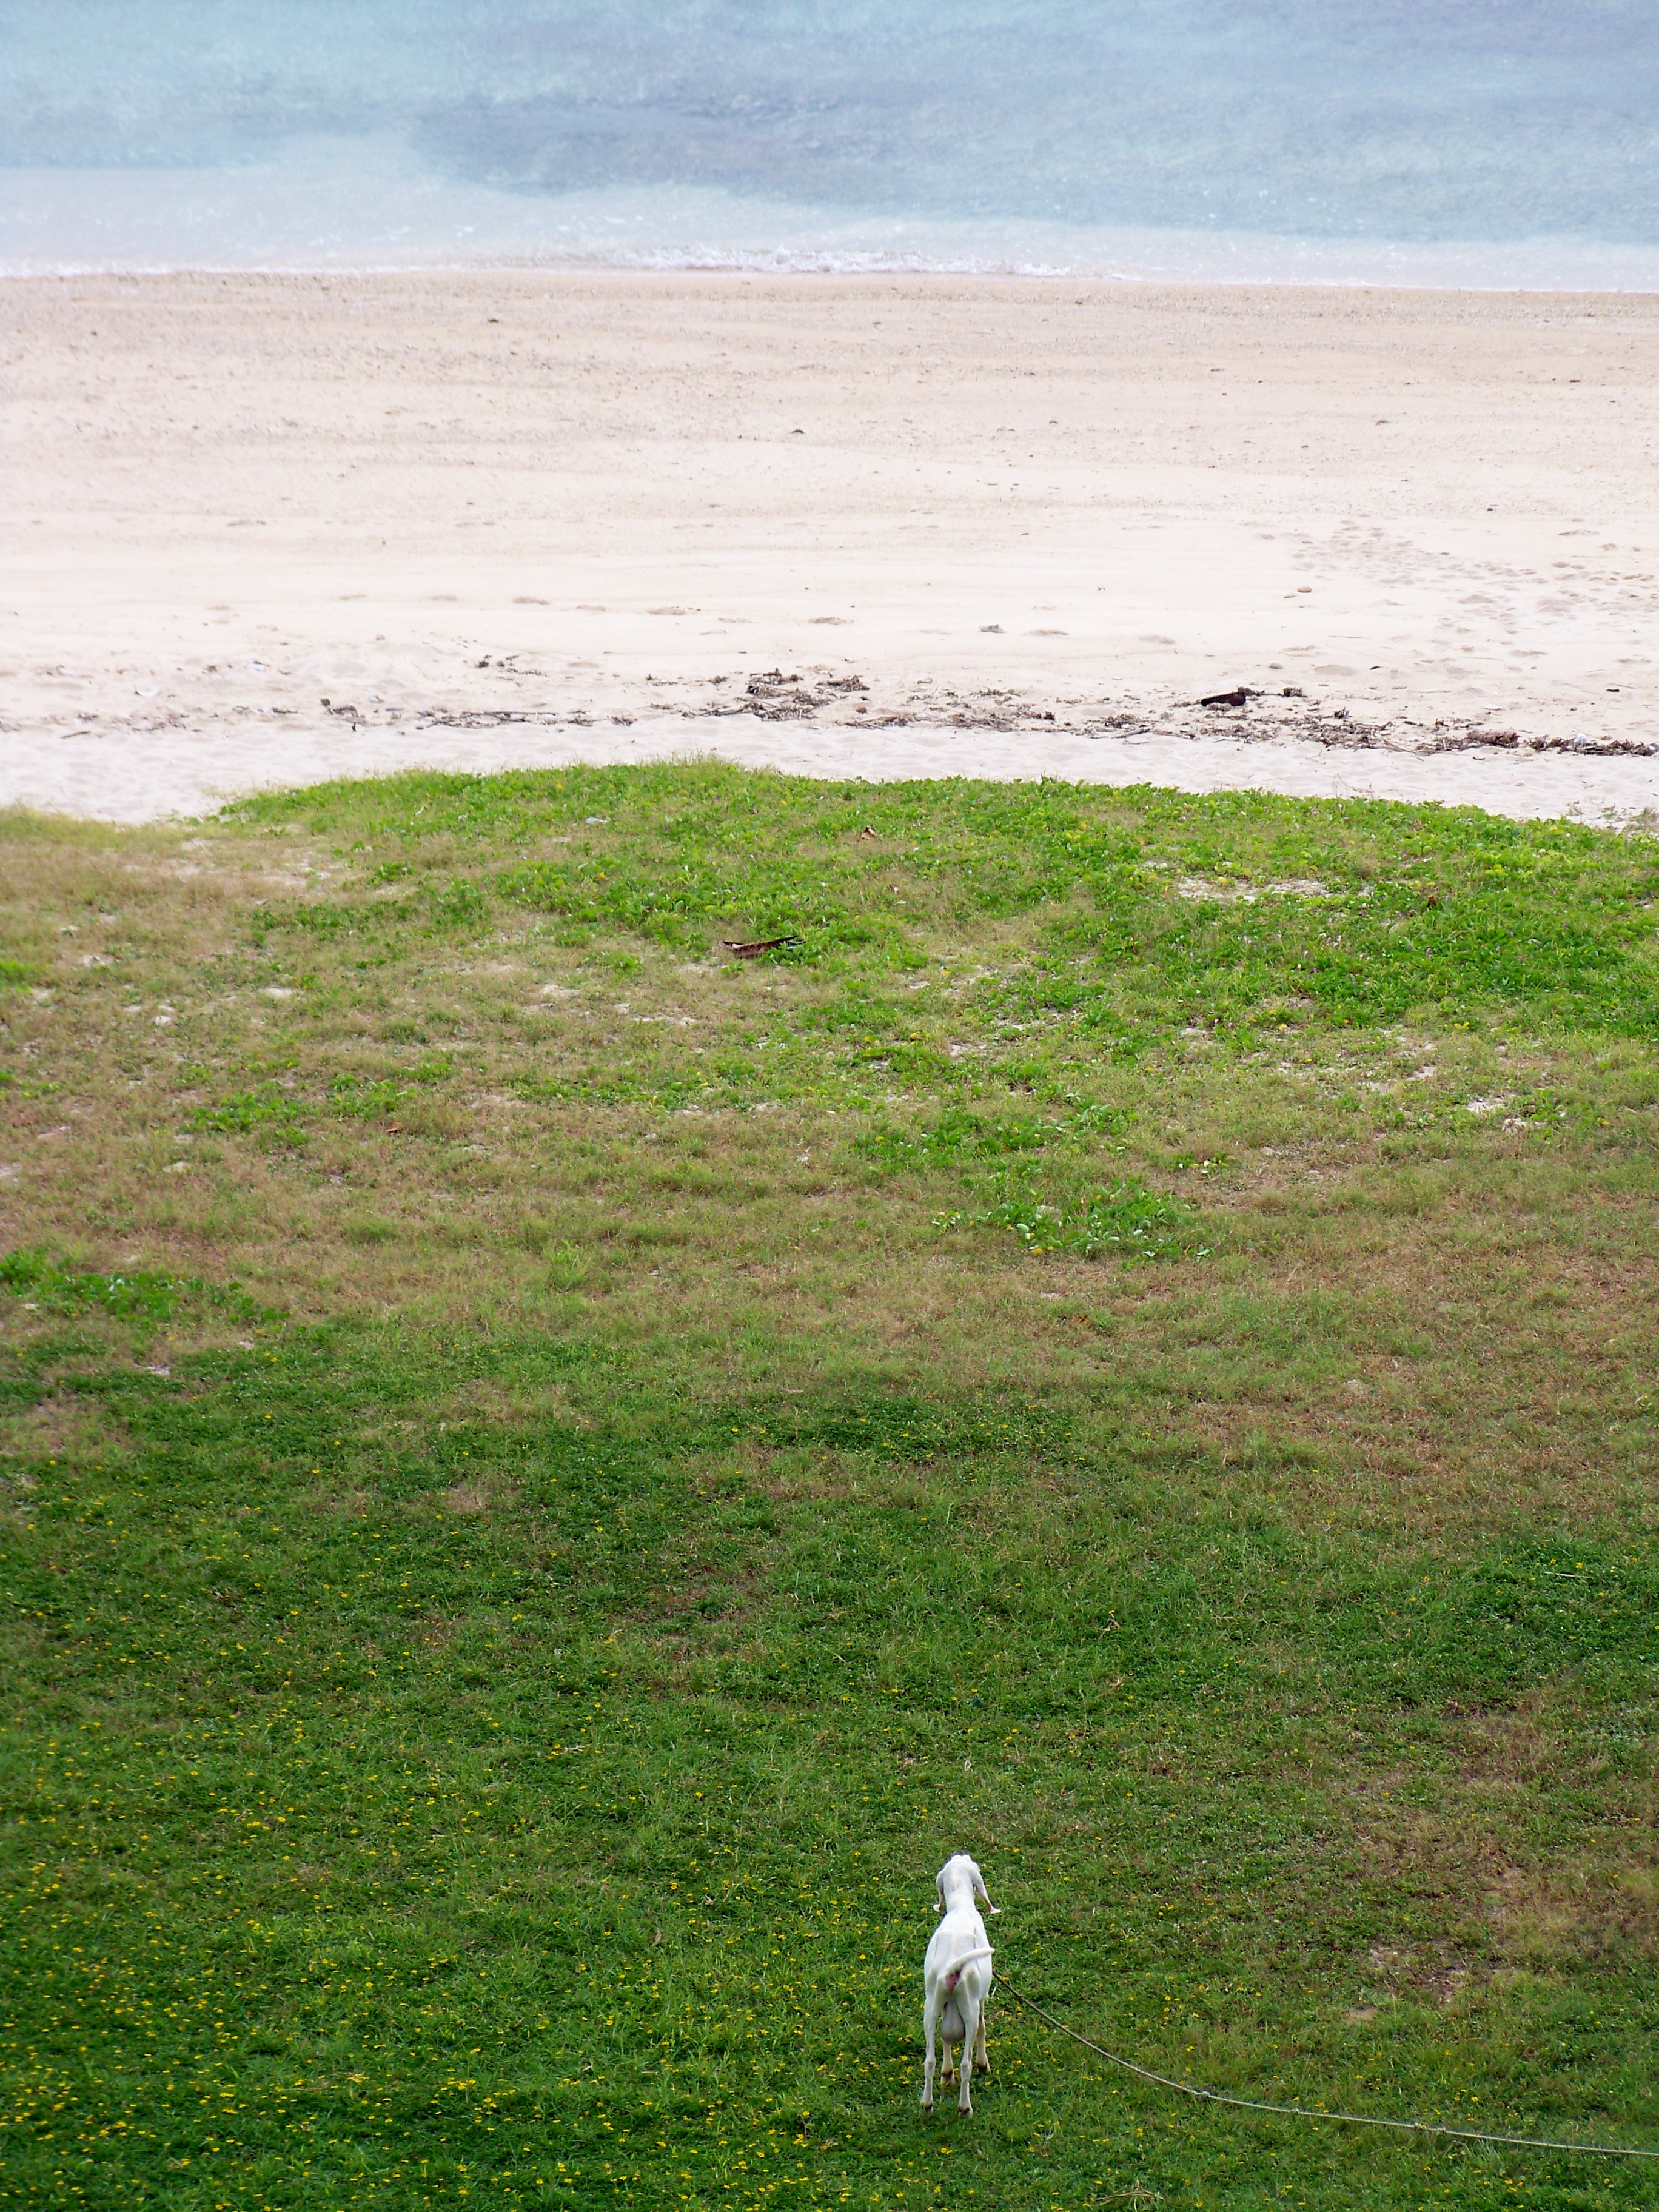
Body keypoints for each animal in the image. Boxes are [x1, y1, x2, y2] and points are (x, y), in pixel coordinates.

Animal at [921, 1852, 1000, 2115]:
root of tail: (952, 1969)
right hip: (969, 2004)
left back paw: (927, 2104)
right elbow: (983, 2027)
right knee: (966, 2062)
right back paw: (965, 2107)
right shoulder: (981, 1997)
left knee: (929, 2060)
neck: (961, 1909)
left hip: (931, 2004)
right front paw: (984, 2064)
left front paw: (947, 2074)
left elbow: (945, 2038)